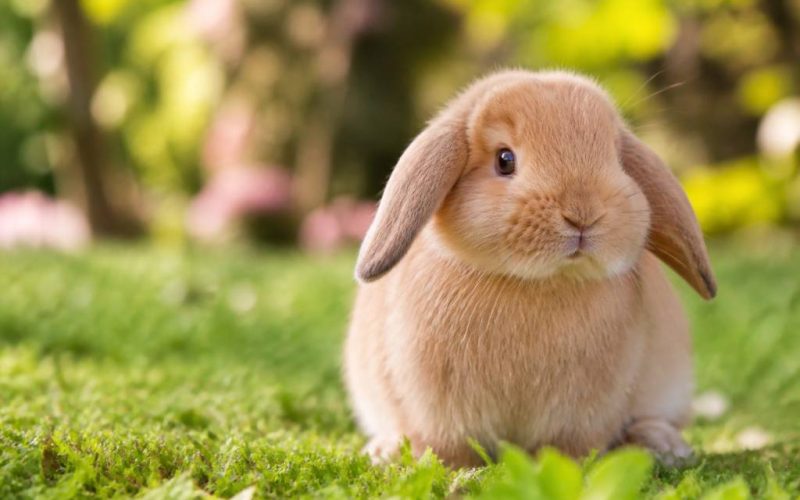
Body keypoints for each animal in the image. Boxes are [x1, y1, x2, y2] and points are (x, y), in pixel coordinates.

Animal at [344, 69, 716, 468]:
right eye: (504, 159)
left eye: (617, 159)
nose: (583, 213)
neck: (537, 282)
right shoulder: (437, 408)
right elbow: (447, 446)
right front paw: (455, 469)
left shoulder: (584, 414)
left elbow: (571, 448)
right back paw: (384, 451)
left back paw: (662, 444)